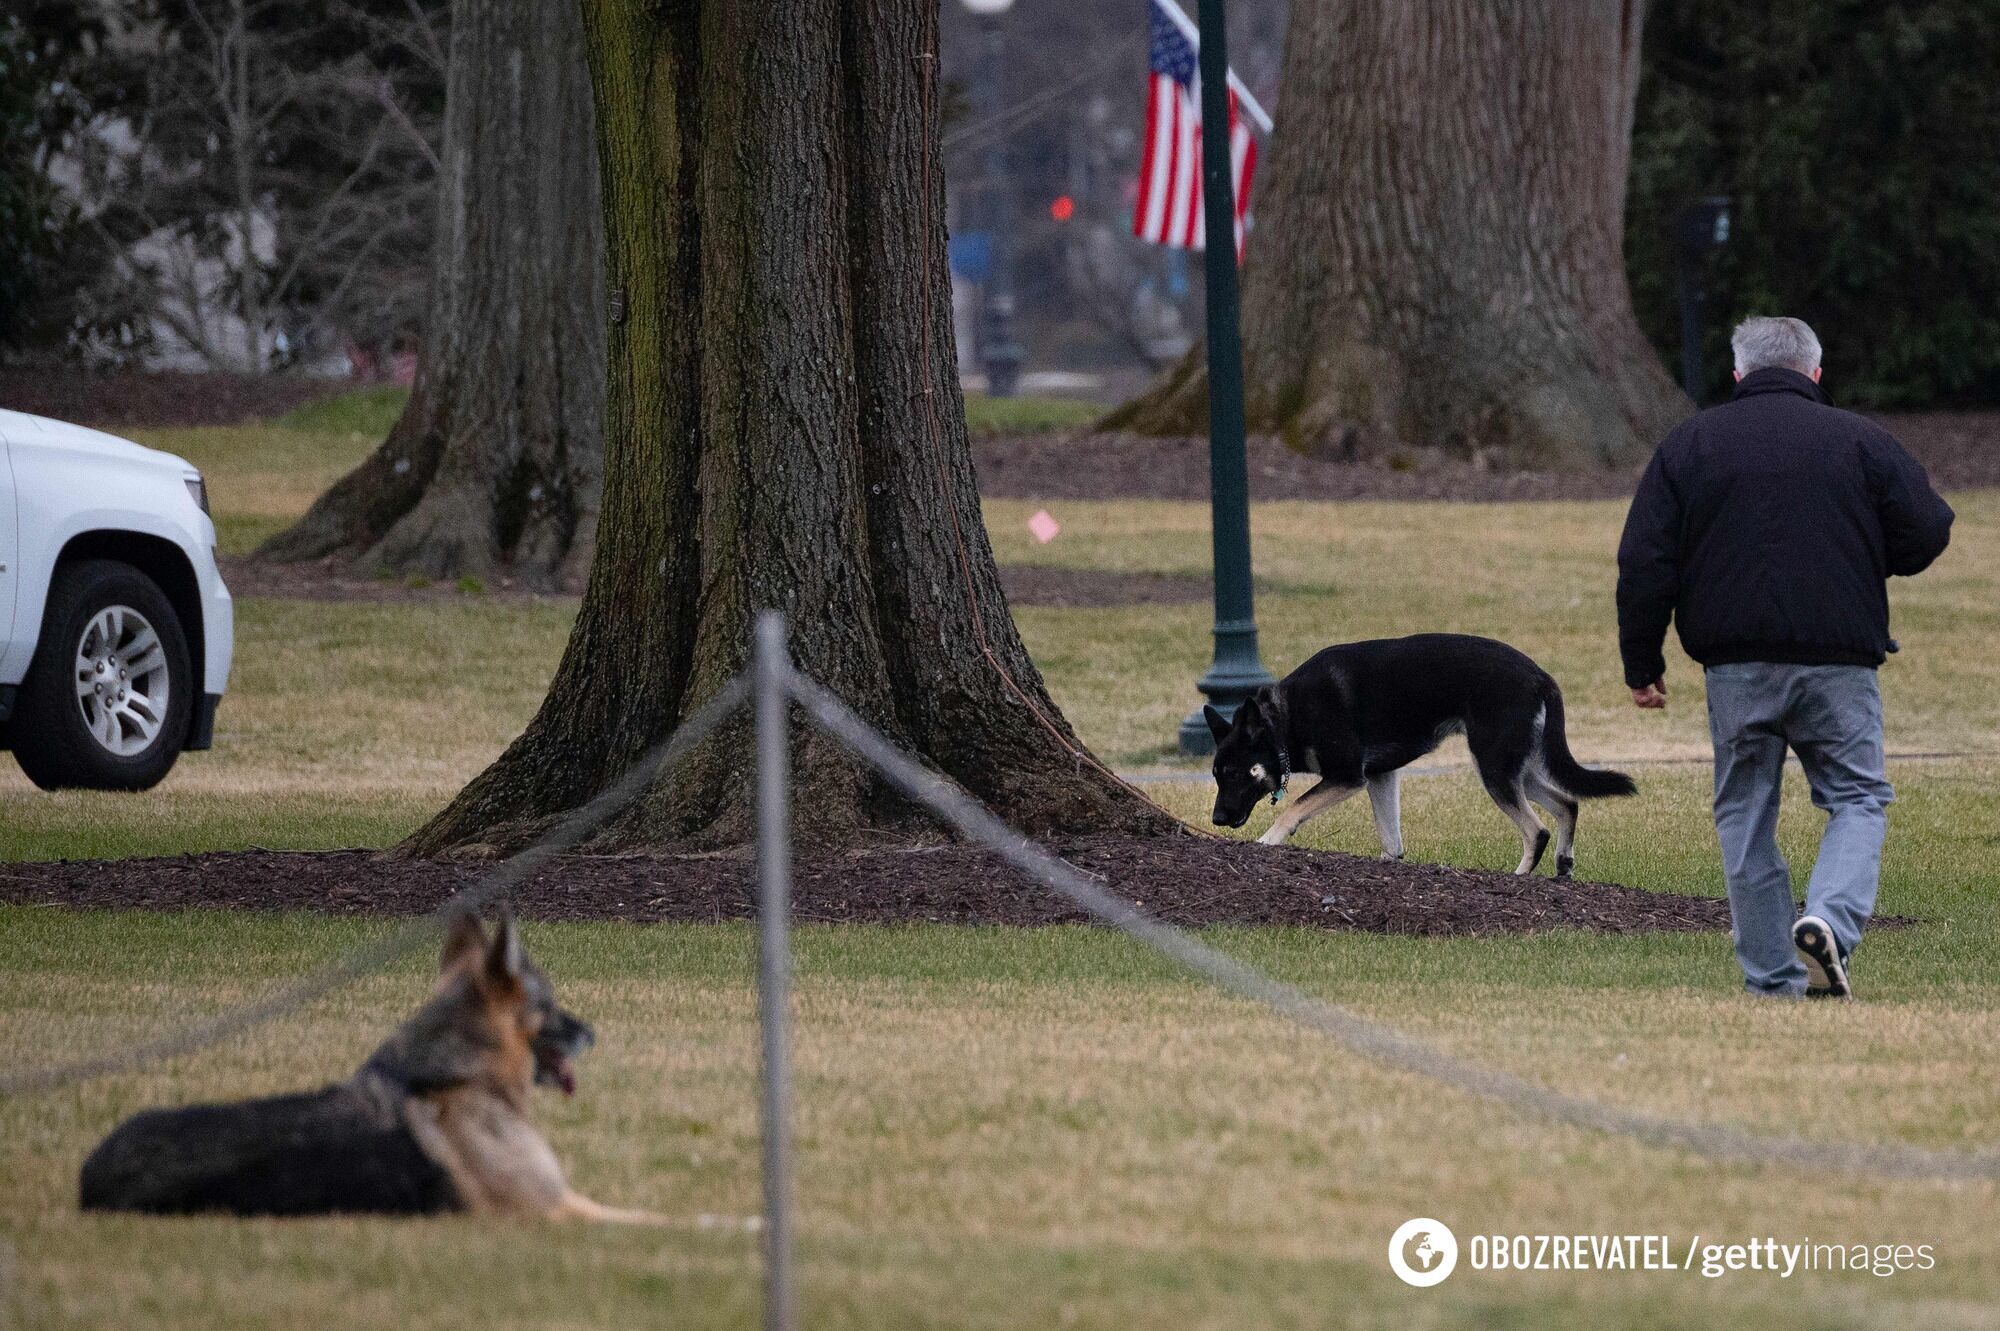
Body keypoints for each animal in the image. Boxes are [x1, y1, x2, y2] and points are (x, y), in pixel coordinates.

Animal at [1208, 631, 1632, 871]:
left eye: (1233, 774)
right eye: (1215, 775)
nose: (1215, 819)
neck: (1284, 719)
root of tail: (1542, 677)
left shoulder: (1347, 776)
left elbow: (1294, 808)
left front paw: (1267, 842)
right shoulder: (1380, 776)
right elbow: (1389, 837)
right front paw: (1390, 864)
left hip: (1494, 767)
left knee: (1537, 830)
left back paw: (1520, 875)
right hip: (1515, 768)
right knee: (1567, 804)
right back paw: (1564, 864)